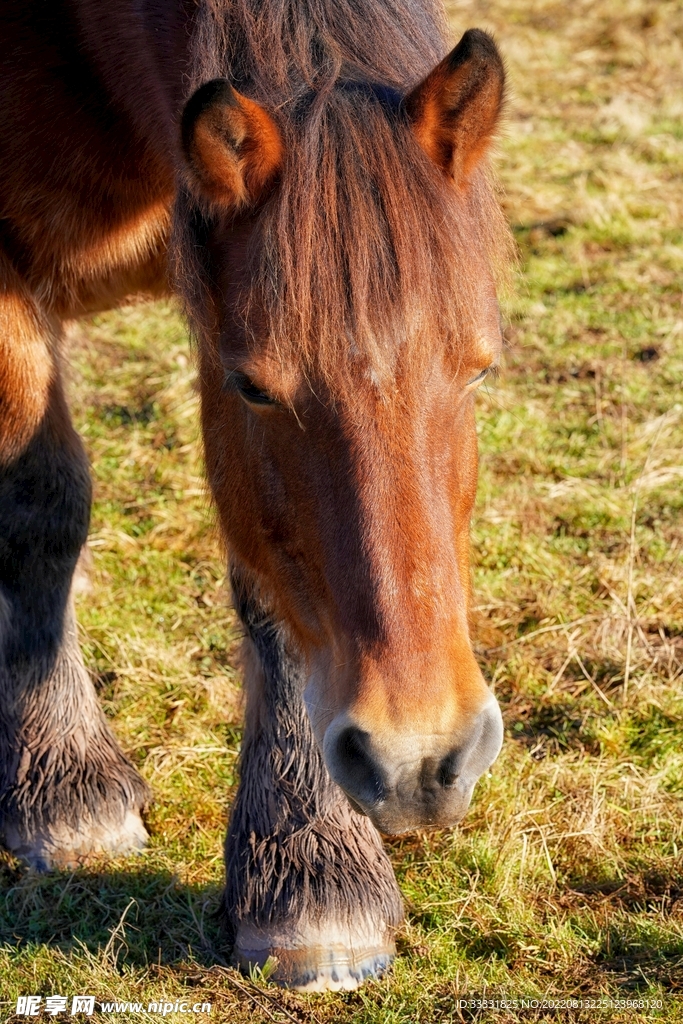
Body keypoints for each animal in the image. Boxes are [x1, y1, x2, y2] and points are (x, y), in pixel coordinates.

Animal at [0, 0, 510, 991]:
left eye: (477, 370)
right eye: (256, 388)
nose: (419, 761)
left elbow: (272, 600)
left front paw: (310, 877)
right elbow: (38, 504)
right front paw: (64, 787)